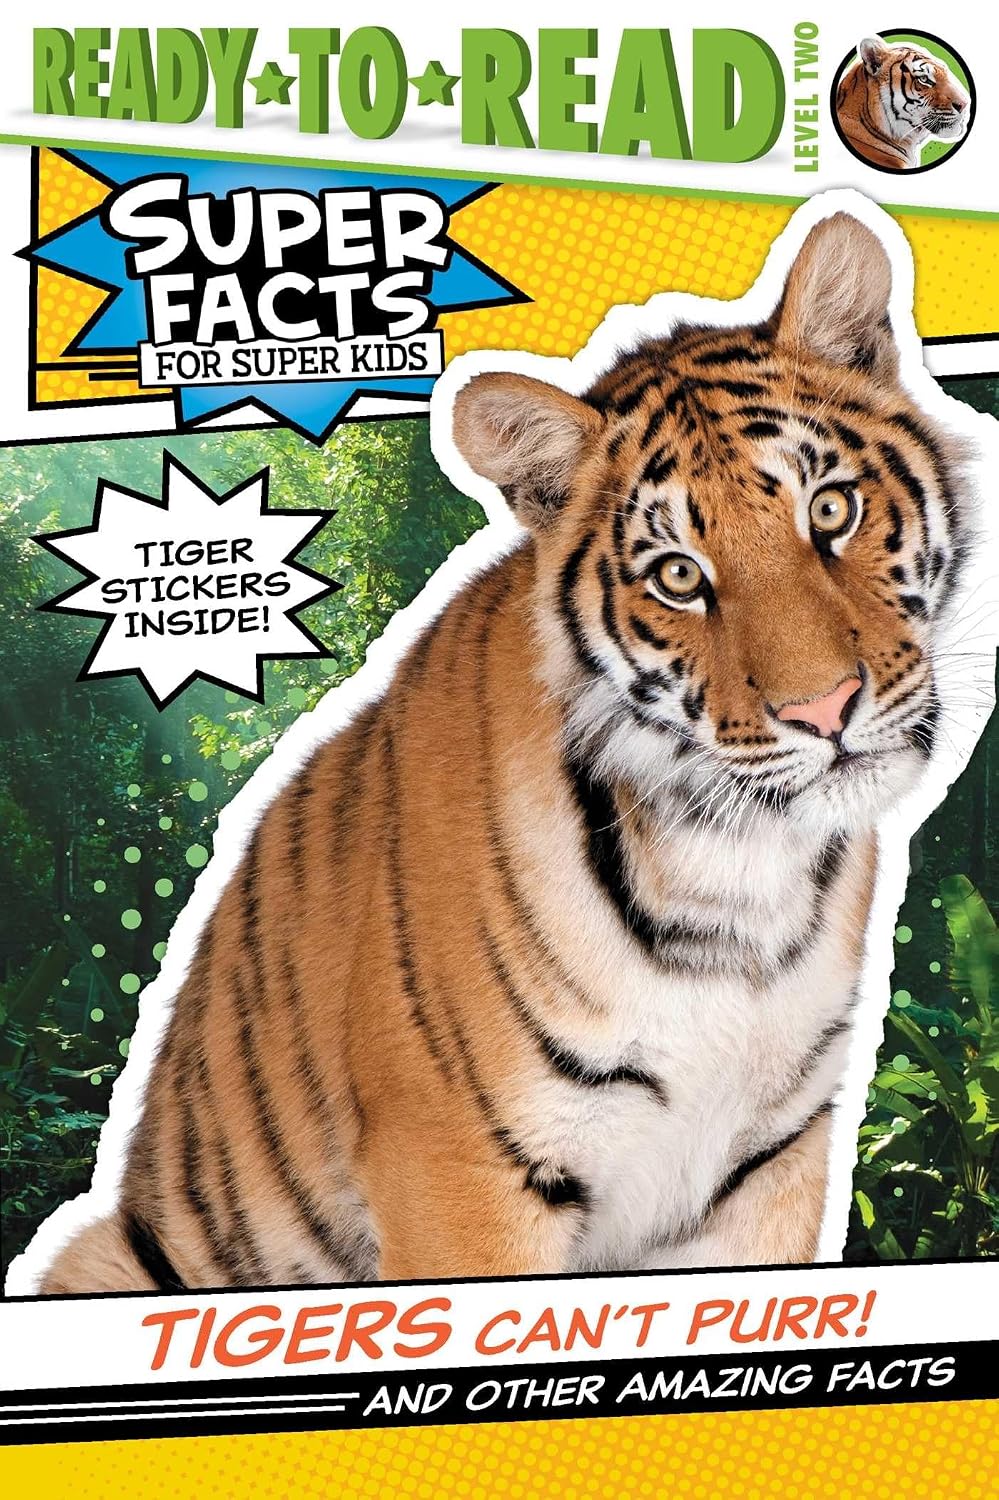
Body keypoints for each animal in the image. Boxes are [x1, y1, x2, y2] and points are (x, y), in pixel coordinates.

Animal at [30, 210, 973, 1294]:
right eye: (678, 577)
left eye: (829, 510)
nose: (824, 709)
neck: (733, 879)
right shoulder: (463, 1169)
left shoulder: (771, 1165)